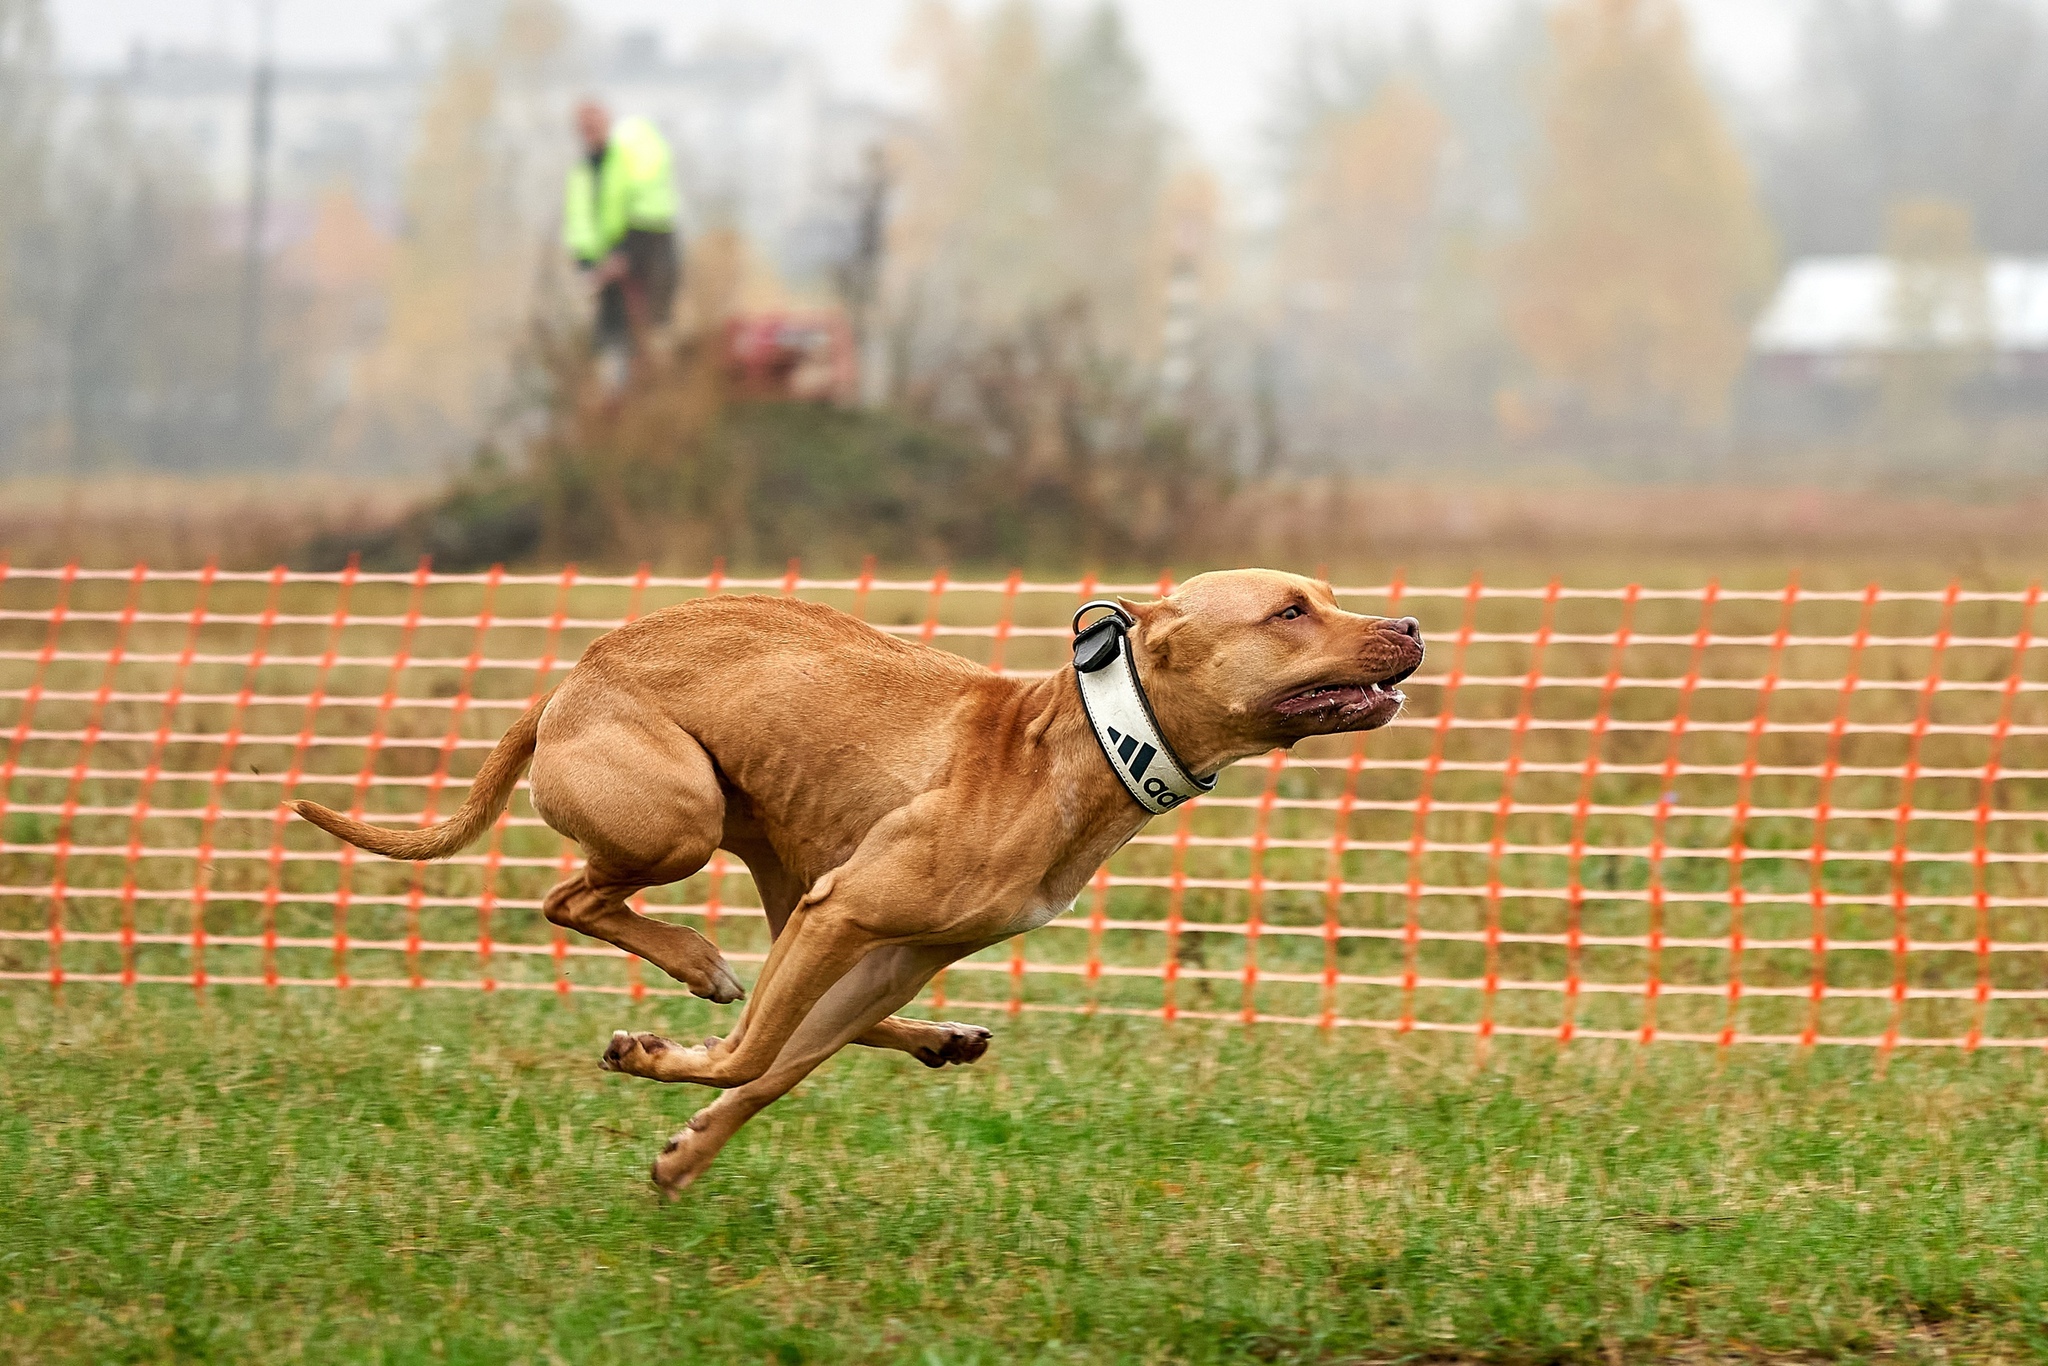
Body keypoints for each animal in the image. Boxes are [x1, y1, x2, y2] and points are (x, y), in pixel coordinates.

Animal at [292, 565, 1425, 1196]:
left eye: (1325, 599)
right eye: (1290, 612)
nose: (1410, 627)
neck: (1082, 741)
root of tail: (567, 684)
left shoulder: (894, 946)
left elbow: (774, 1072)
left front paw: (686, 1152)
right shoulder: (852, 912)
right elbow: (748, 1057)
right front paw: (652, 1057)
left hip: (784, 870)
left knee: (776, 991)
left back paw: (932, 1037)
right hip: (687, 822)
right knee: (577, 900)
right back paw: (696, 966)